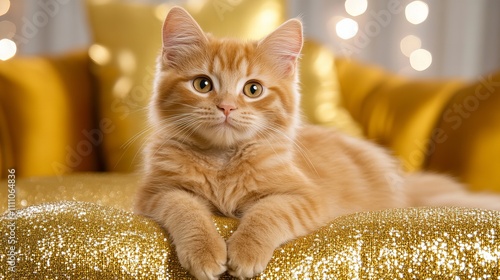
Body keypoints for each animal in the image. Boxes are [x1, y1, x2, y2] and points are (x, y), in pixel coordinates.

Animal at [136, 6, 500, 280]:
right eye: (202, 84)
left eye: (253, 89)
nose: (226, 107)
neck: (224, 160)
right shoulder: (156, 193)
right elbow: (187, 210)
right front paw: (205, 252)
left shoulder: (306, 198)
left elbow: (266, 213)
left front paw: (245, 251)